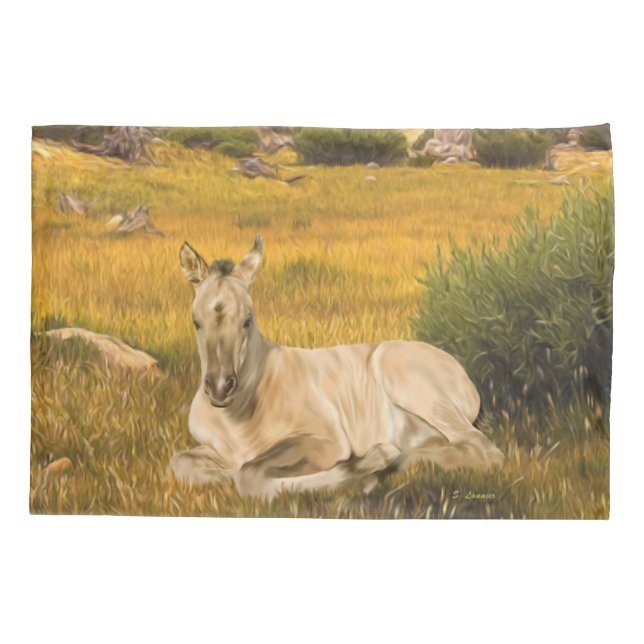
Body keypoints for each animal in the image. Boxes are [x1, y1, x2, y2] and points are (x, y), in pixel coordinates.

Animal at [172, 235, 504, 499]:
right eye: (196, 322)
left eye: (247, 321)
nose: (219, 388)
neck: (241, 413)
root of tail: (465, 377)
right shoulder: (214, 451)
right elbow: (182, 463)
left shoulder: (325, 441)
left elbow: (250, 475)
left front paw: (359, 473)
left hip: (409, 383)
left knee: (482, 448)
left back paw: (384, 459)